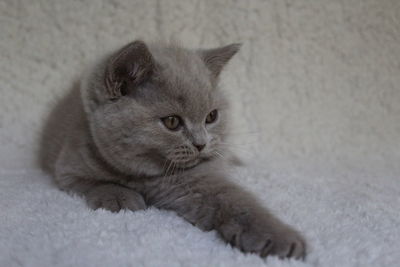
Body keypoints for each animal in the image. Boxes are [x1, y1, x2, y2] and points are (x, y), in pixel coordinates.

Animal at [39, 41, 306, 260]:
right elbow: (95, 183)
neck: (142, 176)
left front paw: (277, 236)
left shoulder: (195, 180)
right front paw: (119, 197)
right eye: (172, 122)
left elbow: (237, 202)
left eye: (211, 116)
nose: (201, 143)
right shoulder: (68, 167)